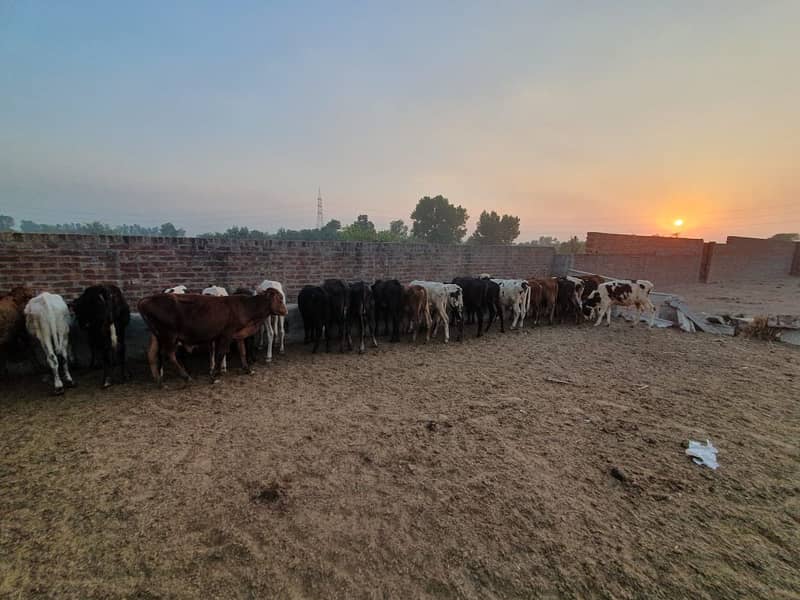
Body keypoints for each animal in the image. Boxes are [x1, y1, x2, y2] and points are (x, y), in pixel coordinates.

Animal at [139, 290, 286, 384]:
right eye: (279, 299)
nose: (285, 311)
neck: (245, 306)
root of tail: (147, 299)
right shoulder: (226, 334)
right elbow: (221, 354)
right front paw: (214, 376)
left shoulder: (238, 334)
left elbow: (242, 352)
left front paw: (247, 369)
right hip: (169, 335)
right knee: (169, 354)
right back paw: (185, 376)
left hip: (158, 335)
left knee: (154, 354)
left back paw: (158, 379)